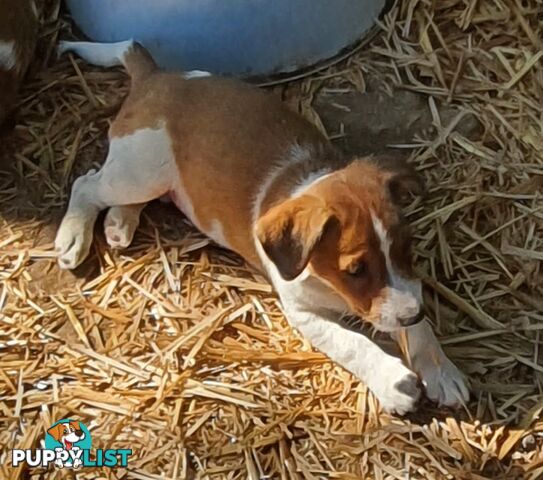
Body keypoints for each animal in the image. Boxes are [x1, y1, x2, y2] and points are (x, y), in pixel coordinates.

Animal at [56, 41, 472, 414]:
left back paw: (118, 223)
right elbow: (353, 343)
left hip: (151, 179)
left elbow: (417, 323)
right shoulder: (304, 315)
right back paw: (72, 238)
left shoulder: (404, 288)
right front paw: (393, 381)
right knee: (87, 183)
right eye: (355, 270)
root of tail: (156, 76)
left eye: (407, 248)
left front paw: (440, 369)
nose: (412, 314)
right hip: (140, 172)